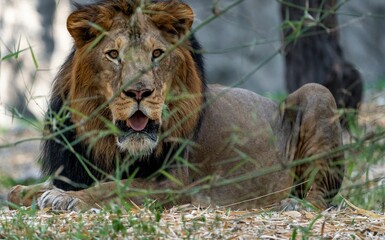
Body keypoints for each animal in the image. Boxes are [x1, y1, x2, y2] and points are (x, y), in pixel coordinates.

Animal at [6, 0, 342, 211]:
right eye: (113, 54)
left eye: (157, 53)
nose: (139, 91)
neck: (109, 145)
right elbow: (19, 191)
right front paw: (33, 191)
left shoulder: (176, 185)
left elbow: (117, 187)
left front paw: (63, 198)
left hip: (318, 94)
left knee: (320, 196)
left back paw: (293, 204)